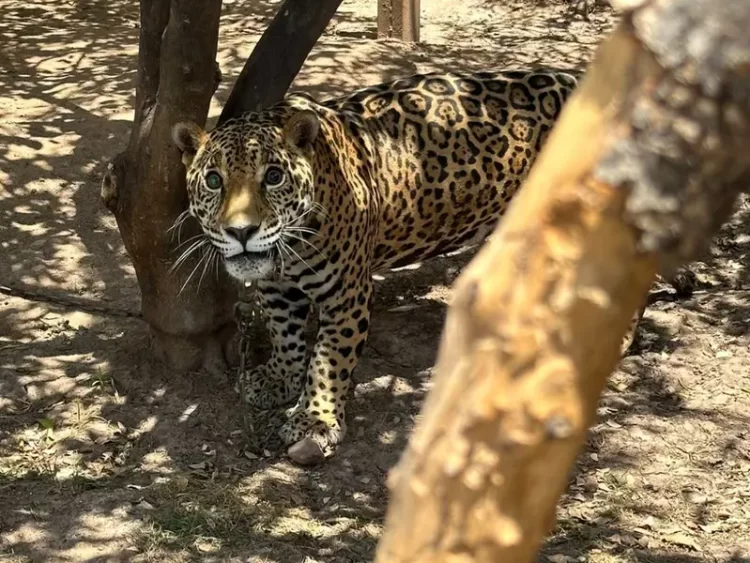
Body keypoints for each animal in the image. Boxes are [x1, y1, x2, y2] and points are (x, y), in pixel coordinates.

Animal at [172, 68, 645, 460]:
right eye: (213, 180)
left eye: (273, 177)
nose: (241, 232)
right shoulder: (275, 287)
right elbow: (286, 337)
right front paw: (277, 380)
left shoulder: (346, 294)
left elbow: (328, 360)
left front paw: (316, 422)